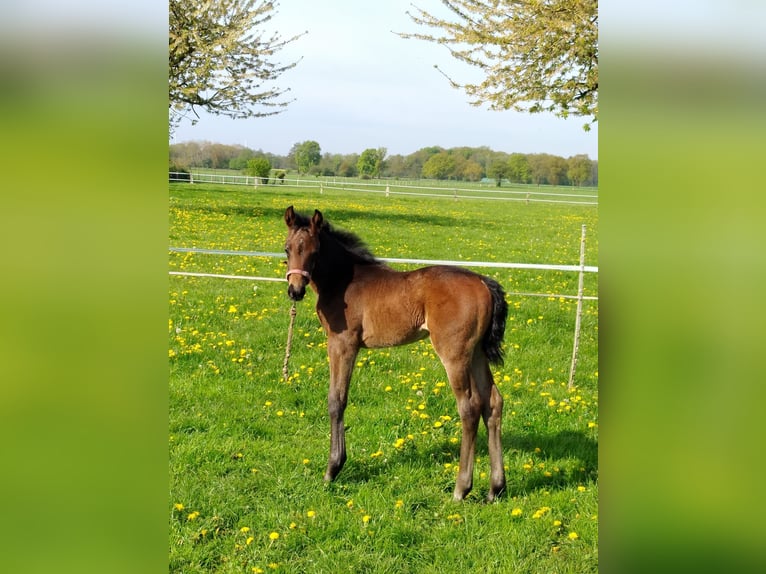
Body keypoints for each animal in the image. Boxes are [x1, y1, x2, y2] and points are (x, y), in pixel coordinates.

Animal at [282, 208, 510, 504]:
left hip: (455, 353)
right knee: (492, 403)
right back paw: (495, 488)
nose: (295, 290)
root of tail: (484, 282)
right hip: (477, 354)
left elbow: (336, 400)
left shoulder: (343, 344)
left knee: (469, 407)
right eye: (287, 248)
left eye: (315, 251)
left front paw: (333, 469)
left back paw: (461, 489)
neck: (343, 280)